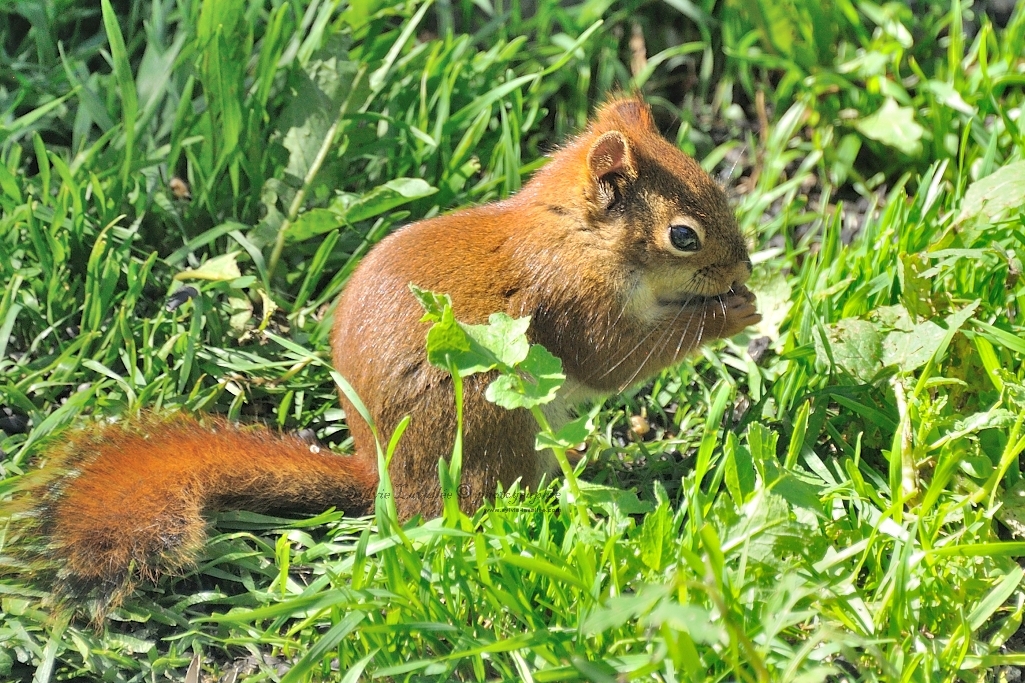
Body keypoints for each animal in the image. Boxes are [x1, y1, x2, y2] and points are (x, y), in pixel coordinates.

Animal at [2, 98, 762, 615]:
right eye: (684, 236)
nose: (742, 266)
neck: (573, 234)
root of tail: (383, 477)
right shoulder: (572, 299)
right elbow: (613, 360)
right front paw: (731, 312)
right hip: (488, 425)